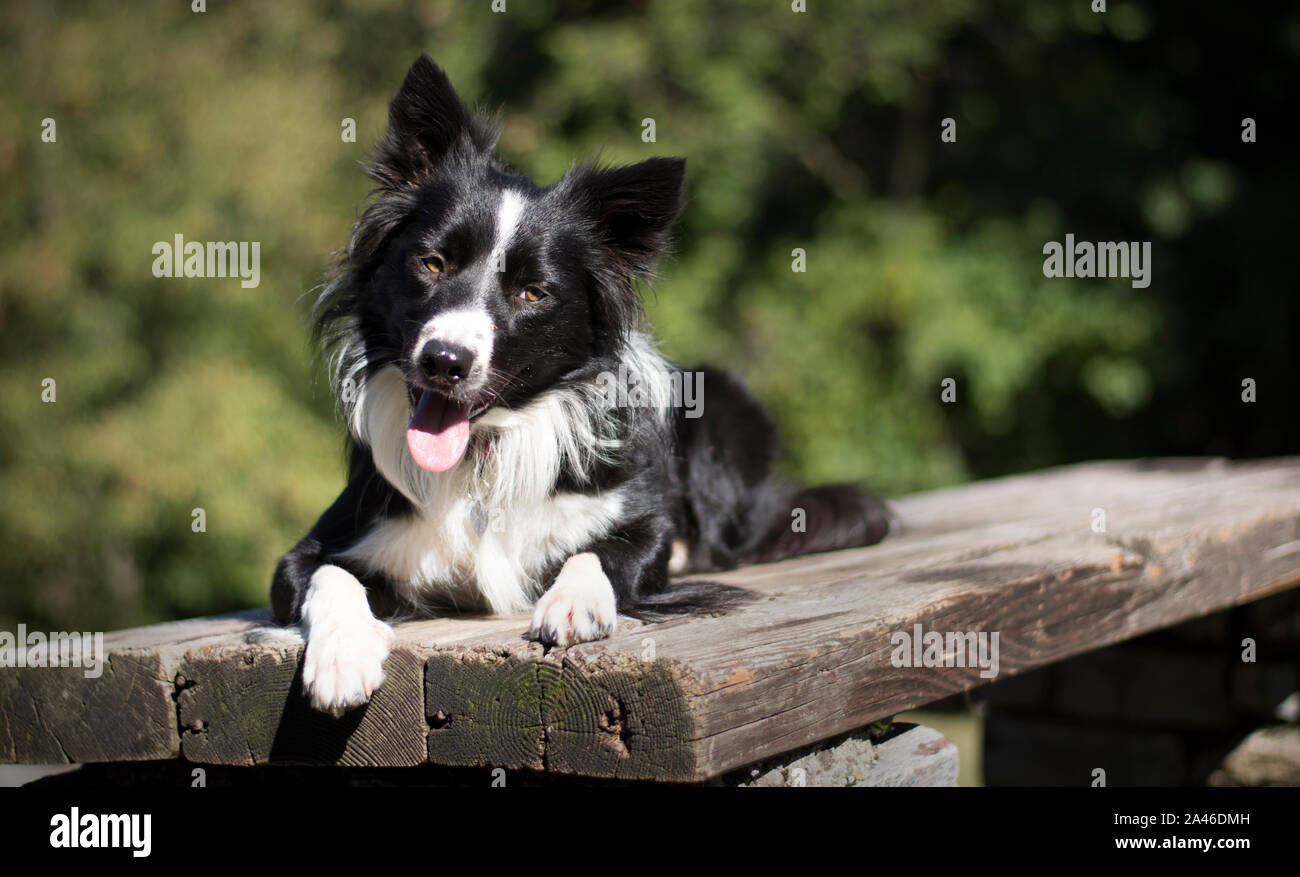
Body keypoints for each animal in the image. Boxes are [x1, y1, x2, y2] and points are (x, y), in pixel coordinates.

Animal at [269, 53, 889, 711]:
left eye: (533, 292)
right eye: (431, 263)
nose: (444, 360)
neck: (483, 453)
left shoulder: (639, 524)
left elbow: (607, 549)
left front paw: (573, 602)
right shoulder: (319, 546)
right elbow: (327, 573)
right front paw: (342, 654)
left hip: (726, 409)